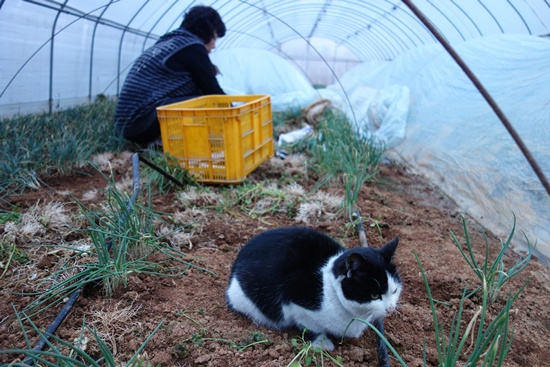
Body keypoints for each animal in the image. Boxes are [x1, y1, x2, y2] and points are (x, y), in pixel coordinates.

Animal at [226, 227, 404, 366]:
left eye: (395, 291)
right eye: (374, 295)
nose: (391, 309)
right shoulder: (297, 305)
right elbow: (312, 327)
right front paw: (323, 343)